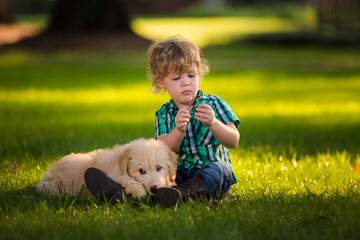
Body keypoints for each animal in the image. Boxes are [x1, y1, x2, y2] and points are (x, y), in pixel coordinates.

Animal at [36, 138, 177, 198]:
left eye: (159, 168)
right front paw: (138, 191)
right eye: (141, 171)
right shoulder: (114, 172)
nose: (154, 189)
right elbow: (125, 178)